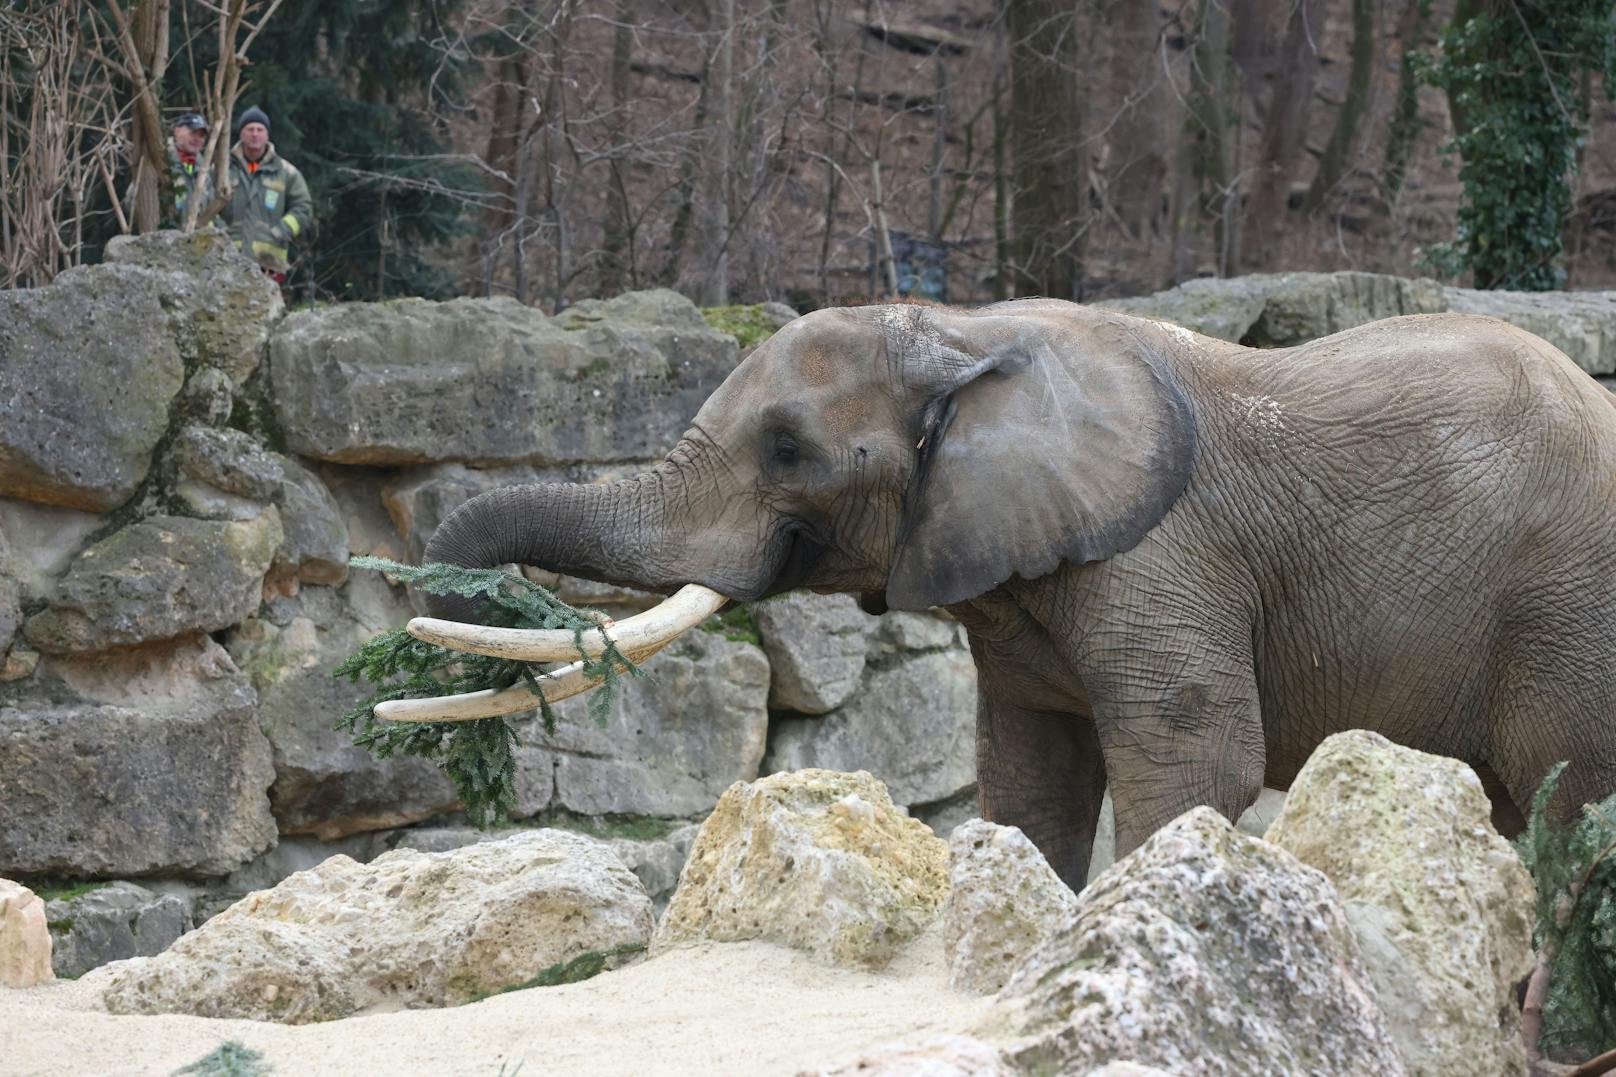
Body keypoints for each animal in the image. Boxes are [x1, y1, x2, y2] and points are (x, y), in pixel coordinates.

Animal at [410, 297, 1616, 886]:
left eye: (790, 451)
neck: (967, 333)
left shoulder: (1163, 555)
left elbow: (1196, 760)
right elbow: (1033, 775)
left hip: (1568, 609)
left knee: (1570, 802)